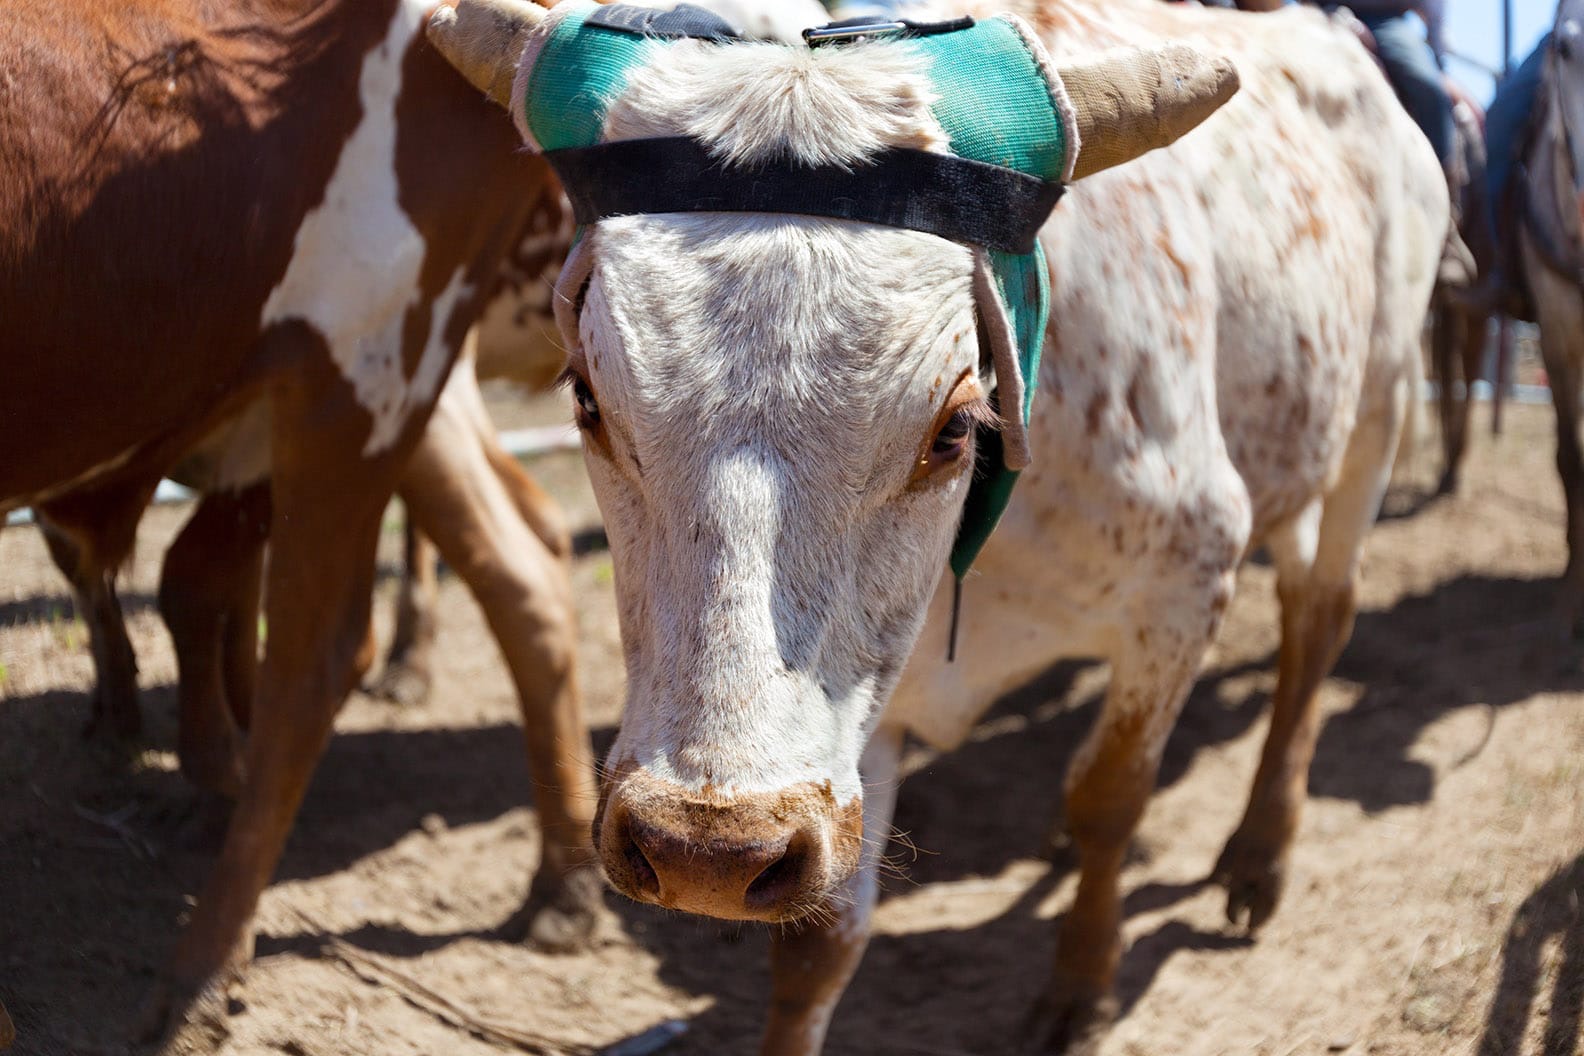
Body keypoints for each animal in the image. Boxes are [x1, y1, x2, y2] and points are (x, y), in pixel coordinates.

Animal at [431, 0, 1446, 1051]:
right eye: (586, 398)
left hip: (1379, 407)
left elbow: (1111, 794)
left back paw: (1257, 856)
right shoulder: (852, 730)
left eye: (955, 427)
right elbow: (820, 942)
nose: (704, 852)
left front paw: (1083, 985)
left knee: (1319, 617)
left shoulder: (1189, 577)